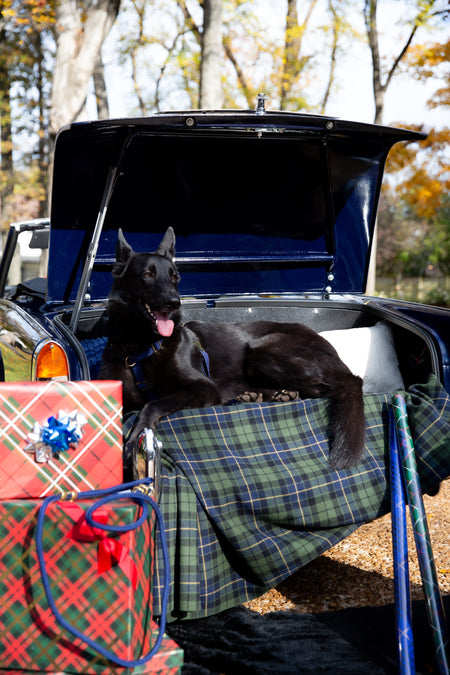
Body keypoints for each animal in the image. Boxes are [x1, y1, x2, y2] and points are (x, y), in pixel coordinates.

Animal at [98, 227, 366, 470]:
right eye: (147, 274)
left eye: (174, 277)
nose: (175, 302)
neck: (140, 348)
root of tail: (341, 363)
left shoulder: (203, 387)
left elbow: (153, 404)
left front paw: (135, 436)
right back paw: (264, 395)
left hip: (262, 353)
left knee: (323, 388)